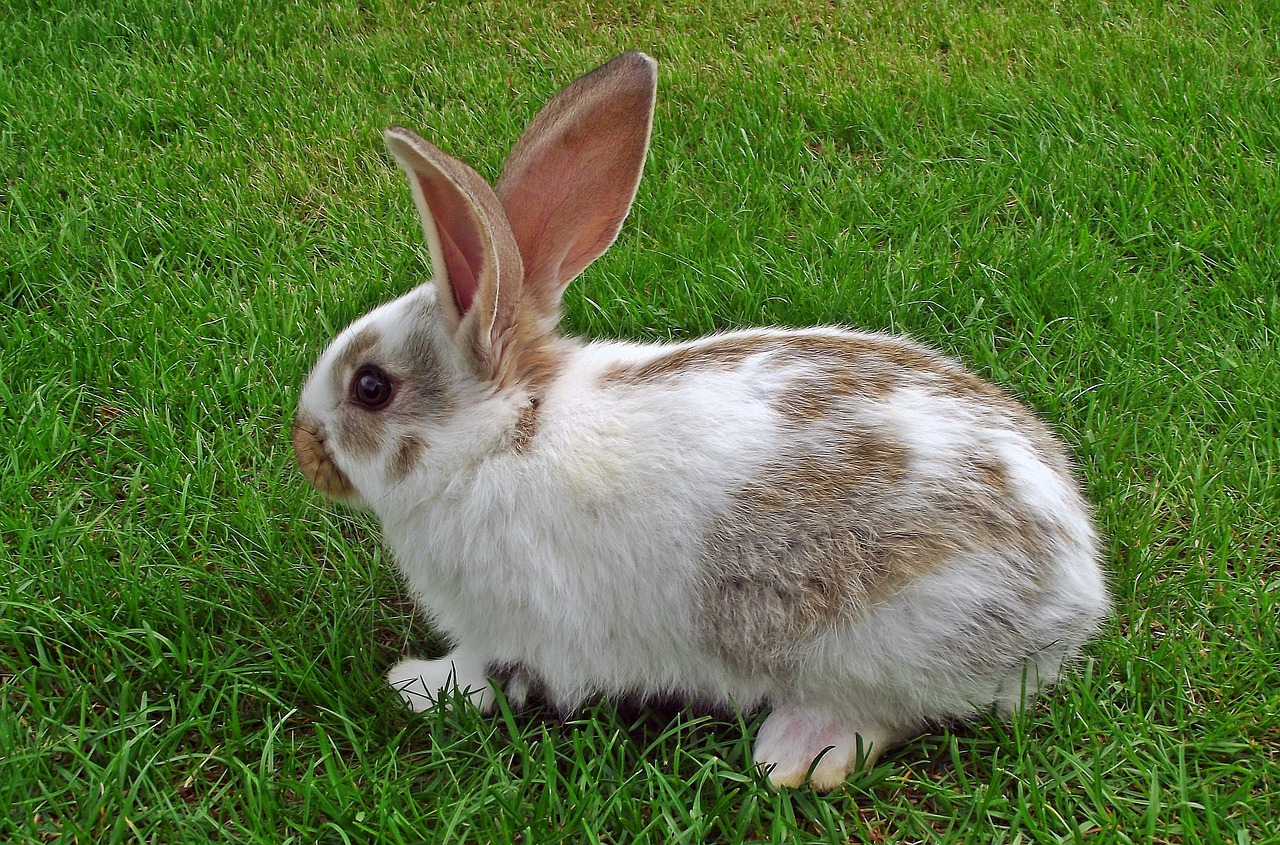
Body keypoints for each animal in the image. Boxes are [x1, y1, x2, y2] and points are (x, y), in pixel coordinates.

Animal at [293, 51, 1111, 793]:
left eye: (371, 387)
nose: (304, 446)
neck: (503, 437)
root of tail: (1076, 585)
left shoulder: (510, 628)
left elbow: (479, 673)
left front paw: (414, 684)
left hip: (882, 640)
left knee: (892, 713)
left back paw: (794, 754)